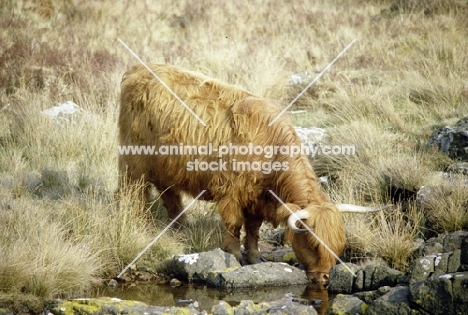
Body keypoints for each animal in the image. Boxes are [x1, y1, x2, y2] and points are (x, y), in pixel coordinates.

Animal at [116, 63, 380, 286]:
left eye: (338, 246)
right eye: (313, 244)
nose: (324, 278)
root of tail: (138, 69)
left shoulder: (258, 199)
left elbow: (253, 230)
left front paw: (254, 257)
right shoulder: (231, 192)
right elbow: (234, 225)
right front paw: (233, 254)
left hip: (165, 166)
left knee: (169, 194)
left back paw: (180, 227)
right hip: (133, 161)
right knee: (132, 192)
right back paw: (138, 221)